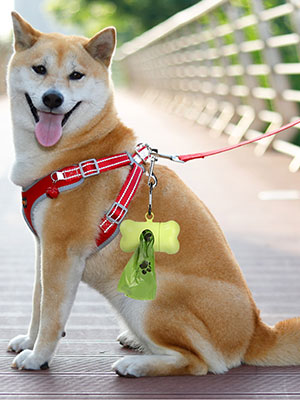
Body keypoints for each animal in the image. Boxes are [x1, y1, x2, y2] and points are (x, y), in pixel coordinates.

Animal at [6, 11, 300, 376]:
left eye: (76, 75)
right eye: (39, 69)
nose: (52, 98)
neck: (78, 153)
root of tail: (255, 333)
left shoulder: (62, 252)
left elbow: (51, 314)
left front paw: (38, 356)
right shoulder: (44, 248)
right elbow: (37, 303)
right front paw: (29, 342)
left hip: (147, 298)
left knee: (197, 363)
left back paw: (137, 364)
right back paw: (136, 345)